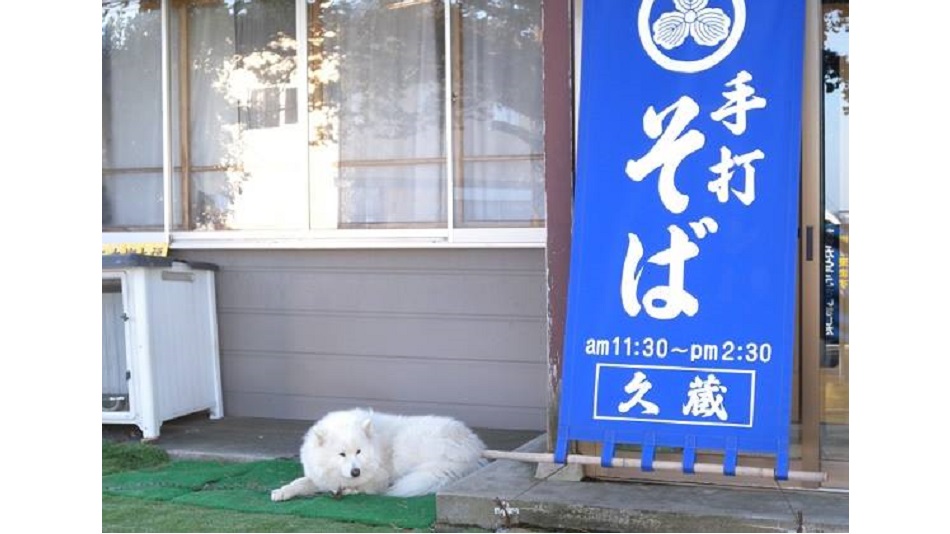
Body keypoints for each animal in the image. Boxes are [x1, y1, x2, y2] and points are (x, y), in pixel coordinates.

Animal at [270, 410, 488, 502]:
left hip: (407, 446)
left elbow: (366, 487)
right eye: (342, 454)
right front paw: (282, 491)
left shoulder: (380, 476)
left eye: (359, 451)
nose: (356, 471)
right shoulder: (321, 477)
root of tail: (473, 448)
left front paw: (350, 490)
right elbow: (300, 482)